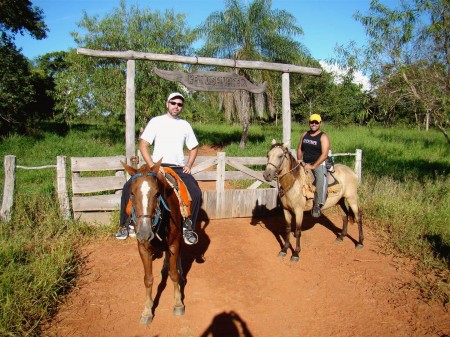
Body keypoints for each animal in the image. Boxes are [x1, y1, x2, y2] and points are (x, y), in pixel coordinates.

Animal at [121, 159, 185, 322]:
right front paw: (147, 310)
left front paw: (178, 303)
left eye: (157, 194)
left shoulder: (174, 244)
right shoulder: (143, 249)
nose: (144, 232)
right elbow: (148, 279)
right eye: (132, 193)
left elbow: (174, 274)